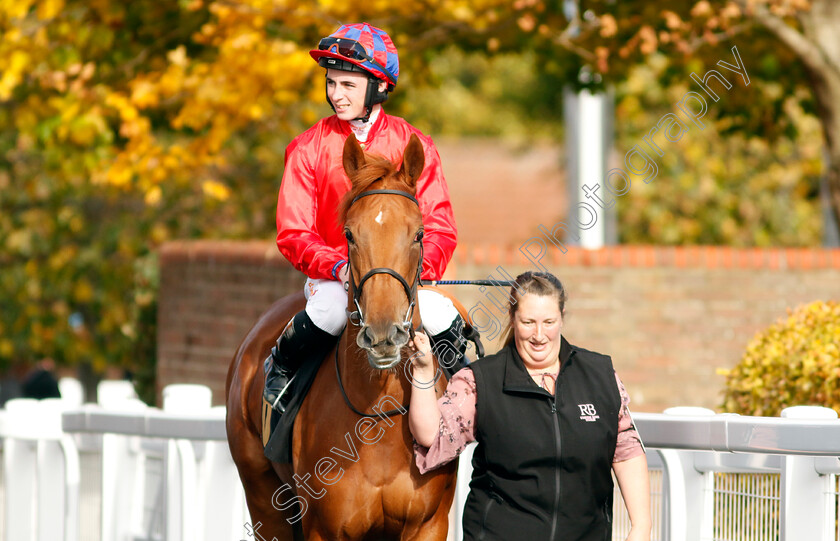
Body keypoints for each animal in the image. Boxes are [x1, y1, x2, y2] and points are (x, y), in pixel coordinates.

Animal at [226, 132, 456, 540]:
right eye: (349, 234)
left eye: (419, 234)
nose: (383, 333)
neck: (379, 414)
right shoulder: (324, 527)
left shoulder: (430, 524)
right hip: (263, 497)